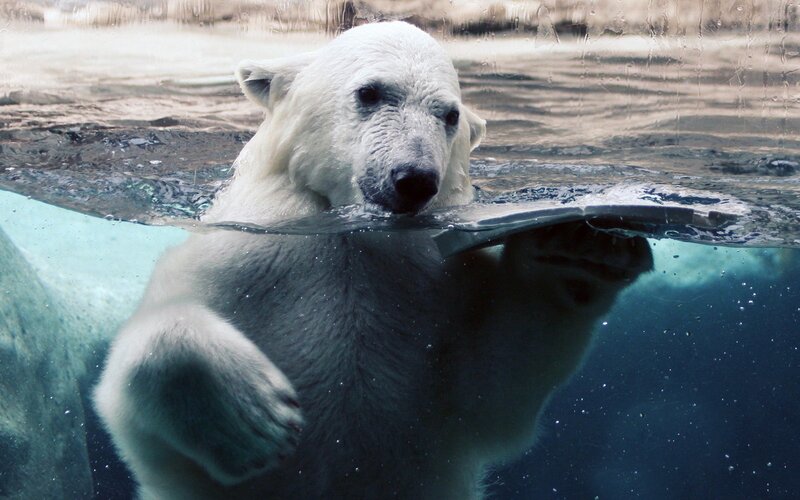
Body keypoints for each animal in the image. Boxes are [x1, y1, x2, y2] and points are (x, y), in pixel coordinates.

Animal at [94, 21, 653, 499]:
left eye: (449, 115)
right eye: (370, 92)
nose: (414, 179)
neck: (352, 237)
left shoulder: (442, 287)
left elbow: (492, 387)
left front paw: (580, 249)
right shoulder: (240, 257)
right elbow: (128, 382)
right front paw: (257, 422)